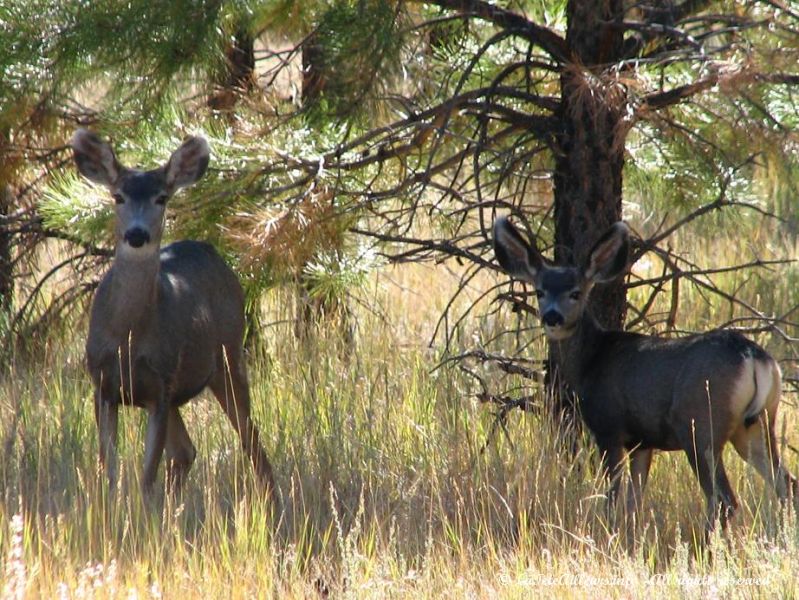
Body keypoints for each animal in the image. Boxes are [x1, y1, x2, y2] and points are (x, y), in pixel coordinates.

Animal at [72, 131, 278, 506]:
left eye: (161, 197)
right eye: (118, 196)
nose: (137, 234)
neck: (128, 339)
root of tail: (211, 250)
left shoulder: (162, 385)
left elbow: (146, 475)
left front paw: (141, 515)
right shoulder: (102, 384)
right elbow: (108, 472)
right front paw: (111, 513)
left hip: (229, 356)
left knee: (250, 440)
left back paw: (274, 505)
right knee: (186, 451)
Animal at [494, 214, 799, 528]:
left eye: (575, 293)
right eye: (540, 291)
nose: (552, 316)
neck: (591, 360)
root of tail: (753, 357)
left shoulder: (609, 427)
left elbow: (613, 498)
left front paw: (610, 531)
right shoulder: (642, 441)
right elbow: (634, 501)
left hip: (700, 426)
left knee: (724, 499)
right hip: (757, 424)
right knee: (787, 484)